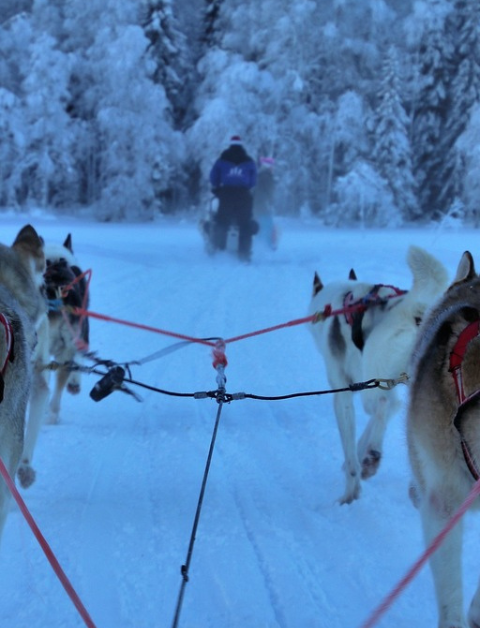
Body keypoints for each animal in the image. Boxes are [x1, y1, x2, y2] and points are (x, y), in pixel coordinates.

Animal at [310, 247, 448, 506]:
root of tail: (416, 308)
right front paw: (358, 456)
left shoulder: (344, 393)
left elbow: (352, 448)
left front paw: (350, 490)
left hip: (375, 378)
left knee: (385, 403)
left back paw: (373, 456)